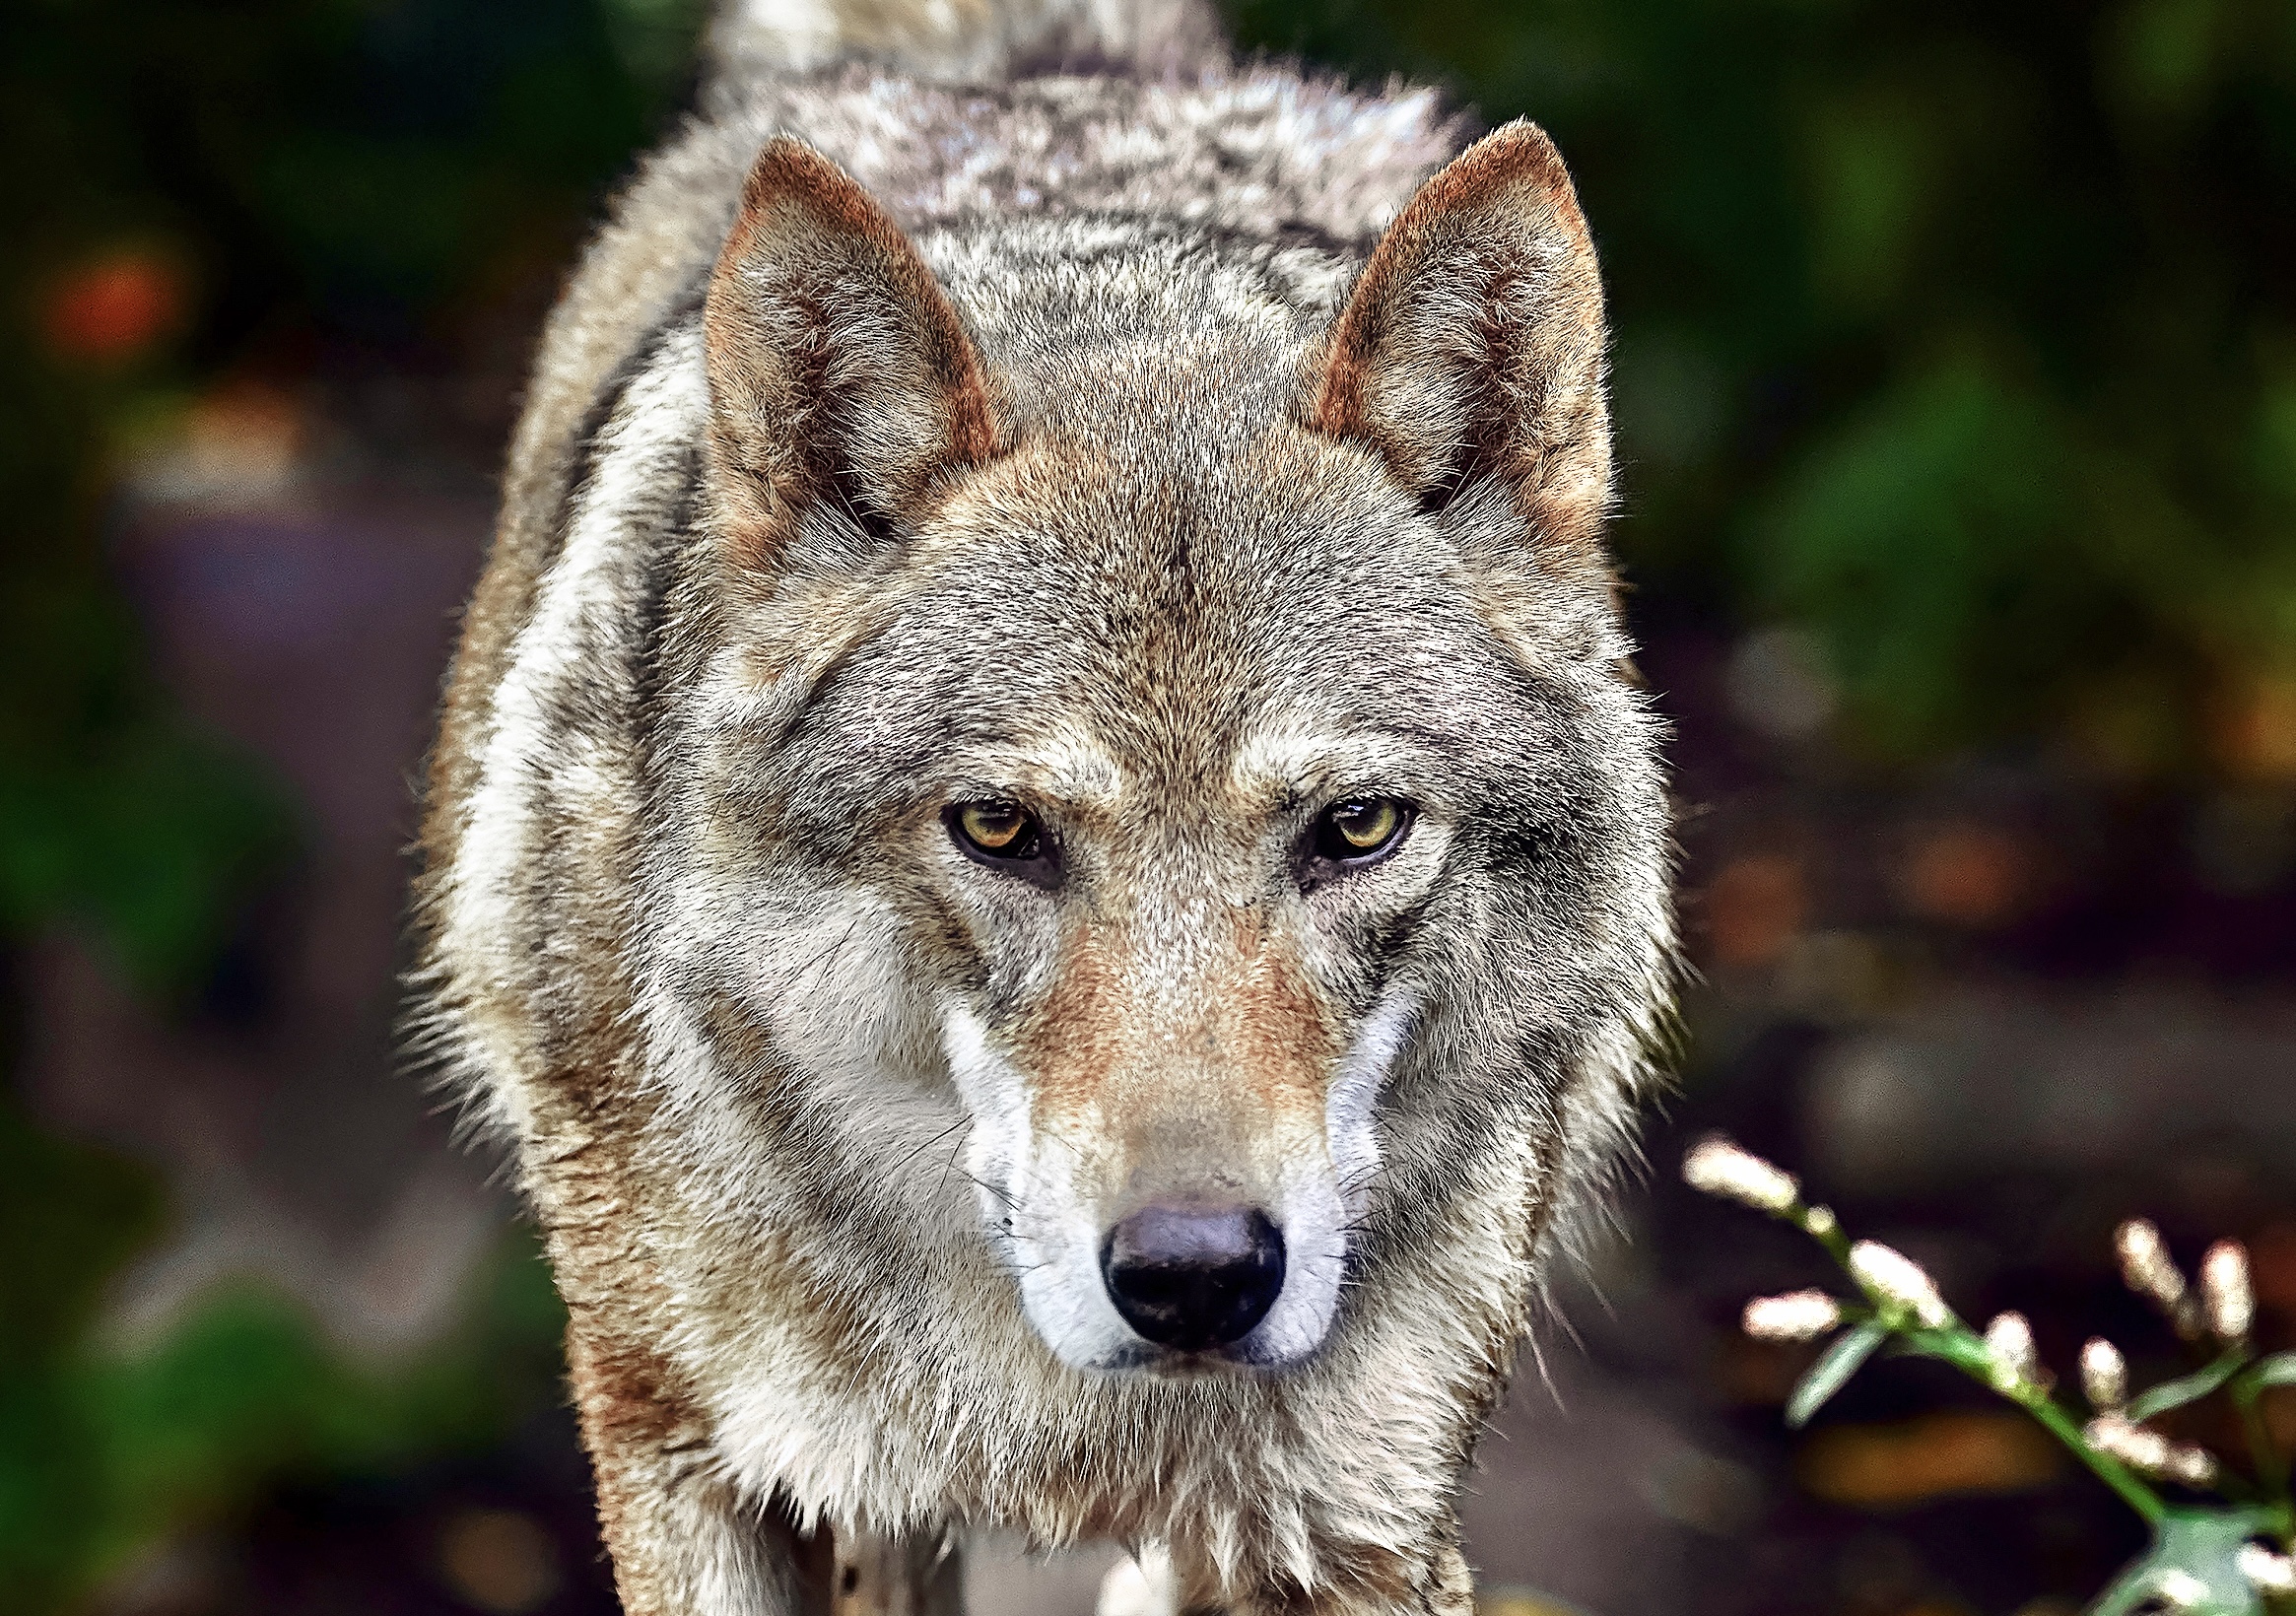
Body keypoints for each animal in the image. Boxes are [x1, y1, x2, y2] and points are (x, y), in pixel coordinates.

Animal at [408, 3, 1671, 1606]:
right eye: (1000, 830)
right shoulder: (680, 1450)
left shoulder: (1350, 1528)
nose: (1195, 1276)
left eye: (1357, 829)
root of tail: (1045, 62)